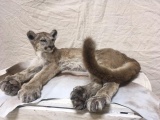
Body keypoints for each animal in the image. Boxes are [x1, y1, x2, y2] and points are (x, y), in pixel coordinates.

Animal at [0, 29, 140, 112]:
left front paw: (28, 89)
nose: (51, 46)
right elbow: (25, 72)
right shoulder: (36, 65)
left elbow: (38, 76)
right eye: (43, 40)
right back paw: (80, 95)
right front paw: (10, 81)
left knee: (111, 82)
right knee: (99, 81)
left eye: (52, 39)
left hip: (99, 62)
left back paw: (96, 98)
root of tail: (127, 56)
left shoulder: (52, 65)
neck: (40, 54)